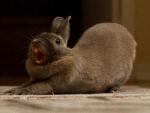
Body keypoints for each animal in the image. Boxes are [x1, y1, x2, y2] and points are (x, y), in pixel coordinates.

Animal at [4, 15, 137, 94]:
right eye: (40, 34)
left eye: (57, 41)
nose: (35, 42)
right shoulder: (35, 79)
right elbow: (26, 84)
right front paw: (10, 91)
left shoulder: (54, 83)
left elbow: (38, 87)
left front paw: (20, 92)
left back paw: (113, 90)